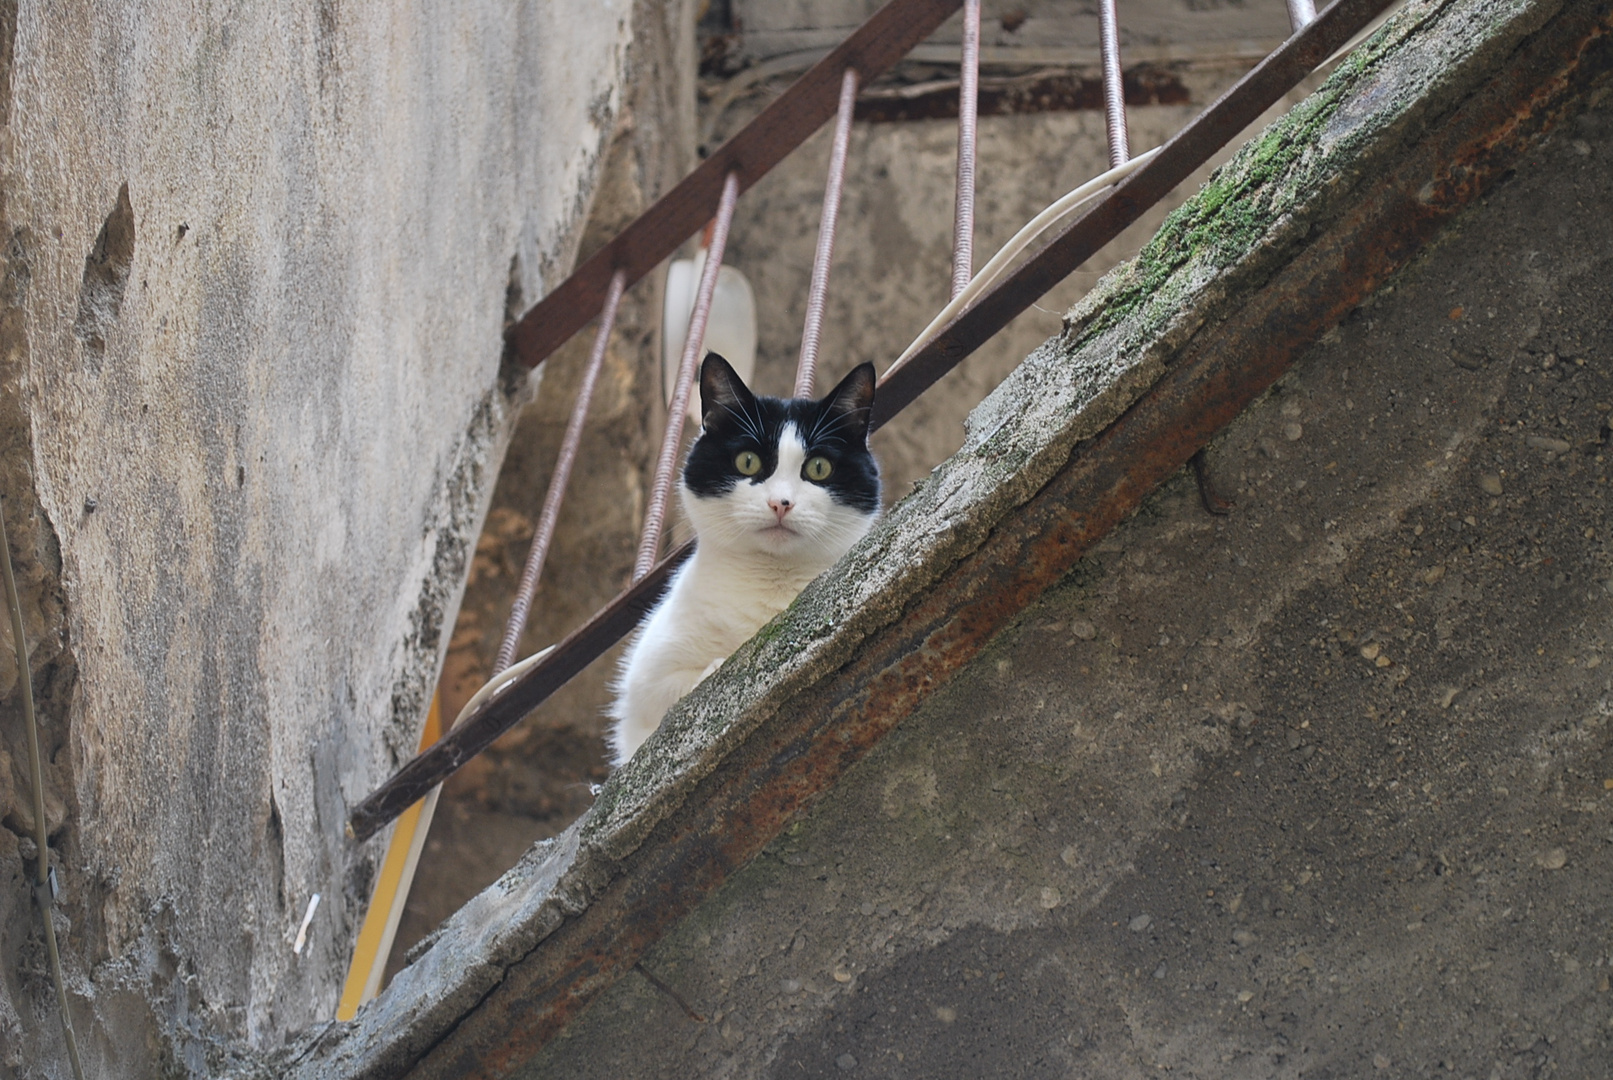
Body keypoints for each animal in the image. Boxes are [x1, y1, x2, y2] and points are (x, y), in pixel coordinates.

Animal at [606, 351, 883, 767]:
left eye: (818, 468)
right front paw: (715, 667)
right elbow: (668, 694)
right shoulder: (644, 682)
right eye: (748, 461)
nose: (781, 502)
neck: (770, 580)